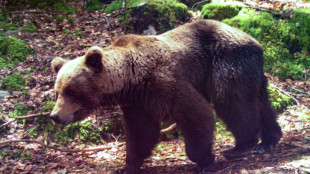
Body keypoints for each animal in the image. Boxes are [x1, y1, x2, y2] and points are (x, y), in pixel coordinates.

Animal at [50, 19, 284, 173]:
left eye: (71, 91)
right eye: (57, 91)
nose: (54, 116)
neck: (131, 79)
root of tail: (255, 41)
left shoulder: (164, 82)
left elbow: (196, 112)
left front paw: (205, 159)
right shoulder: (137, 103)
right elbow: (141, 132)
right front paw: (127, 165)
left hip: (226, 63)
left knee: (232, 101)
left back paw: (240, 146)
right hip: (251, 71)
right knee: (261, 102)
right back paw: (270, 139)